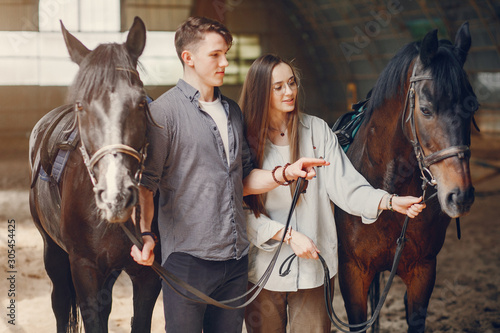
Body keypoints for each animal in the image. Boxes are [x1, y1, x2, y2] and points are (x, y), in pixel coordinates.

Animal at [28, 16, 161, 330]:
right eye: (81, 105)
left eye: (141, 102)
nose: (116, 196)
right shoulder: (84, 268)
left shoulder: (149, 274)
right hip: (53, 252)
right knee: (60, 303)